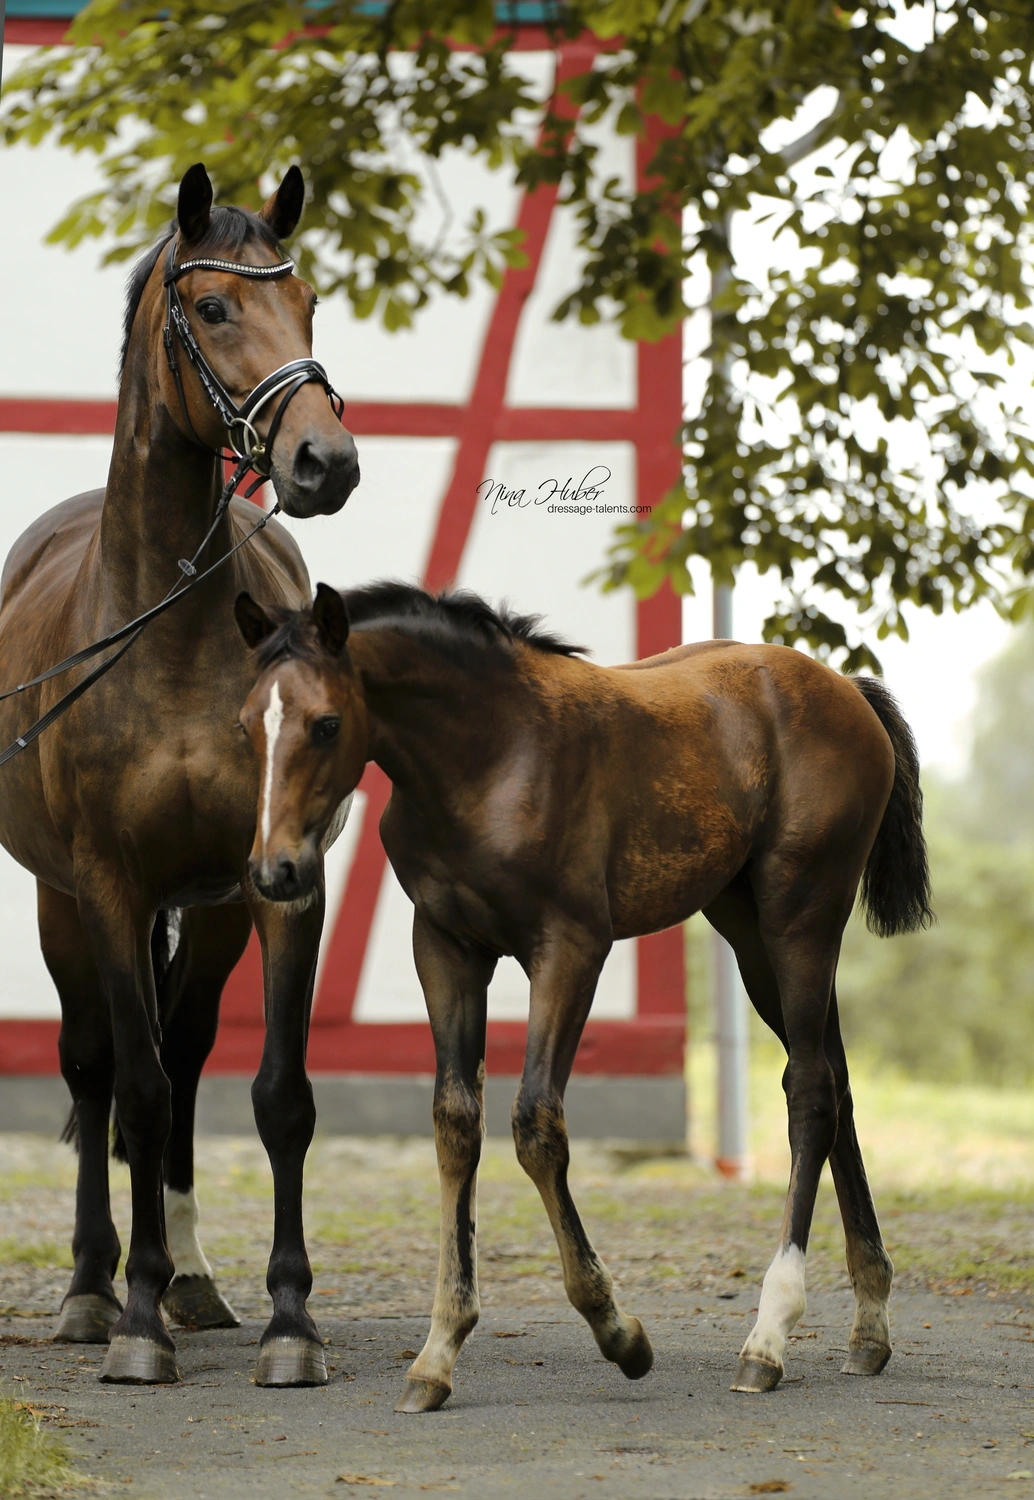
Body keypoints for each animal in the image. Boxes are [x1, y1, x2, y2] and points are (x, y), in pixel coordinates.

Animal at [0, 163, 360, 1387]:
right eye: (212, 308)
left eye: (309, 305)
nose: (325, 462)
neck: (164, 632)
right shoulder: (110, 888)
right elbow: (140, 1095)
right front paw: (135, 1324)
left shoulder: (278, 883)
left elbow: (278, 1096)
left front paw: (292, 1322)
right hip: (62, 904)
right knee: (98, 1066)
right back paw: (91, 1291)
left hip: (206, 913)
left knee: (194, 1051)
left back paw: (194, 1278)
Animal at [233, 579, 931, 1412]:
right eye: (244, 723)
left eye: (327, 722)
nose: (274, 872)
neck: (489, 757)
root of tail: (847, 690)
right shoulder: (446, 948)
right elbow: (455, 1125)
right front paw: (438, 1352)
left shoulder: (570, 948)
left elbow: (536, 1123)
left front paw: (618, 1331)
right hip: (749, 929)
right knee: (834, 1077)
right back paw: (871, 1325)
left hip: (802, 916)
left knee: (813, 1090)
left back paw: (768, 1336)